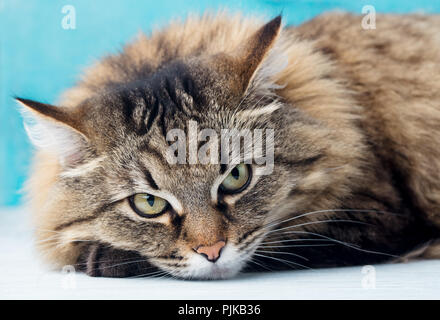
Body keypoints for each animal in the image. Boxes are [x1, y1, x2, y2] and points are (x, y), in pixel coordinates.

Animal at [16, 11, 440, 278]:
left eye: (237, 177)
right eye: (149, 203)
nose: (212, 252)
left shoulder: (378, 216)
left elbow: (284, 243)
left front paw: (104, 260)